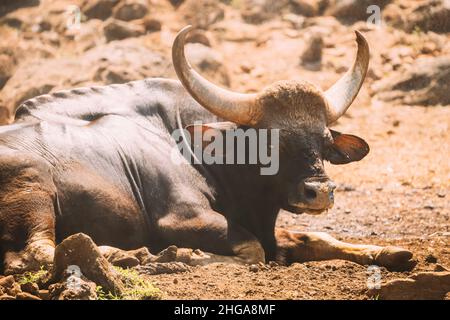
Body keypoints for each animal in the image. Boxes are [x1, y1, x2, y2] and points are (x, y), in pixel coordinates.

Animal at [0, 26, 414, 274]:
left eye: (325, 141)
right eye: (270, 141)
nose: (319, 192)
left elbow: (313, 238)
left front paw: (388, 254)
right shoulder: (184, 219)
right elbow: (253, 251)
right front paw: (186, 254)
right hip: (35, 185)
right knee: (36, 252)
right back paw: (134, 255)